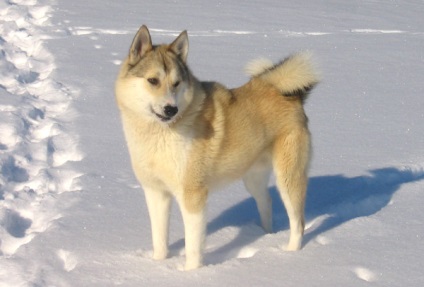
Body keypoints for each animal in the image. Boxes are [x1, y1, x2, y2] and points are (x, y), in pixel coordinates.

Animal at [114, 24, 320, 270]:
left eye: (176, 83)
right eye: (152, 80)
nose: (171, 109)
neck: (160, 133)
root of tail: (288, 94)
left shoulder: (193, 195)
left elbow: (193, 246)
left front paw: (191, 273)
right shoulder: (156, 192)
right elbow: (159, 239)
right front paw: (157, 264)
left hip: (288, 177)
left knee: (298, 222)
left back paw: (289, 255)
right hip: (253, 178)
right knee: (267, 202)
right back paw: (263, 234)